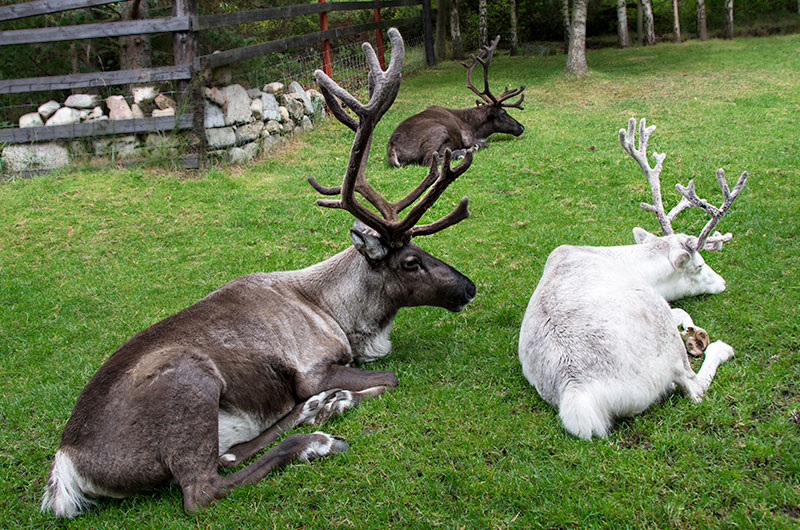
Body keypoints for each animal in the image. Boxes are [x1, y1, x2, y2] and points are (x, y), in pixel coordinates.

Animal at [42, 28, 477, 518]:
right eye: (410, 262)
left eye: (423, 248)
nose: (468, 287)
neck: (342, 315)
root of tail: (66, 468)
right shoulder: (313, 367)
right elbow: (389, 377)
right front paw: (340, 399)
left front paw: (331, 401)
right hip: (189, 379)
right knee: (203, 488)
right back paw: (316, 438)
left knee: (228, 453)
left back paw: (319, 411)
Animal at [386, 35, 525, 167]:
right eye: (503, 113)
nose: (521, 127)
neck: (475, 127)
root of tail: (392, 149)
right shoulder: (467, 137)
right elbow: (484, 144)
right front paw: (471, 148)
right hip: (438, 131)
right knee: (428, 160)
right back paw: (461, 153)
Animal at [518, 117, 748, 440]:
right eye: (700, 265)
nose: (722, 282)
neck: (627, 262)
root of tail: (578, 394)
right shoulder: (660, 303)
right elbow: (680, 310)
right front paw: (692, 329)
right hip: (667, 349)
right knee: (693, 387)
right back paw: (717, 347)